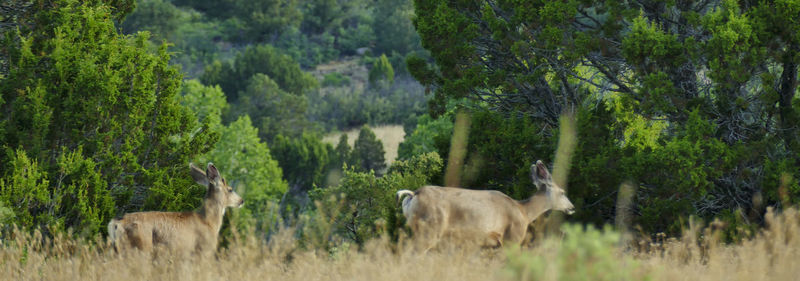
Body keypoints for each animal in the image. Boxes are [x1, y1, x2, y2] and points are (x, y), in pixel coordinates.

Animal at [108, 162, 244, 256]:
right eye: (230, 189)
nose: (241, 201)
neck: (208, 221)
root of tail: (116, 223)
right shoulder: (204, 248)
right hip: (140, 246)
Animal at [396, 160, 572, 249]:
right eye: (563, 192)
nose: (572, 207)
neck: (523, 211)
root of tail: (413, 194)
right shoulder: (512, 237)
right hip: (430, 229)